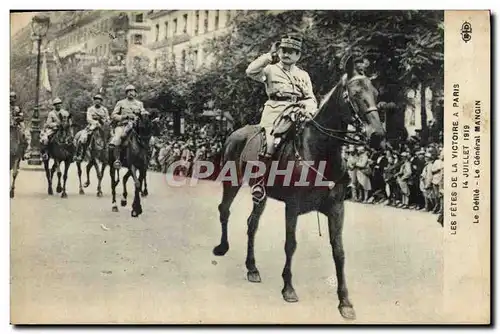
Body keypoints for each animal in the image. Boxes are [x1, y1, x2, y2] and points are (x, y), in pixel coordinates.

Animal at [213, 55, 384, 320]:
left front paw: (345, 302)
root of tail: (235, 132)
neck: (320, 150)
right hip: (232, 181)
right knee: (224, 210)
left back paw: (252, 268)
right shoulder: (292, 207)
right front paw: (288, 288)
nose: (377, 135)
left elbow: (339, 251)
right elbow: (290, 244)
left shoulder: (337, 208)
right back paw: (223, 247)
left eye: (375, 92)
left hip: (260, 195)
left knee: (252, 224)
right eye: (354, 94)